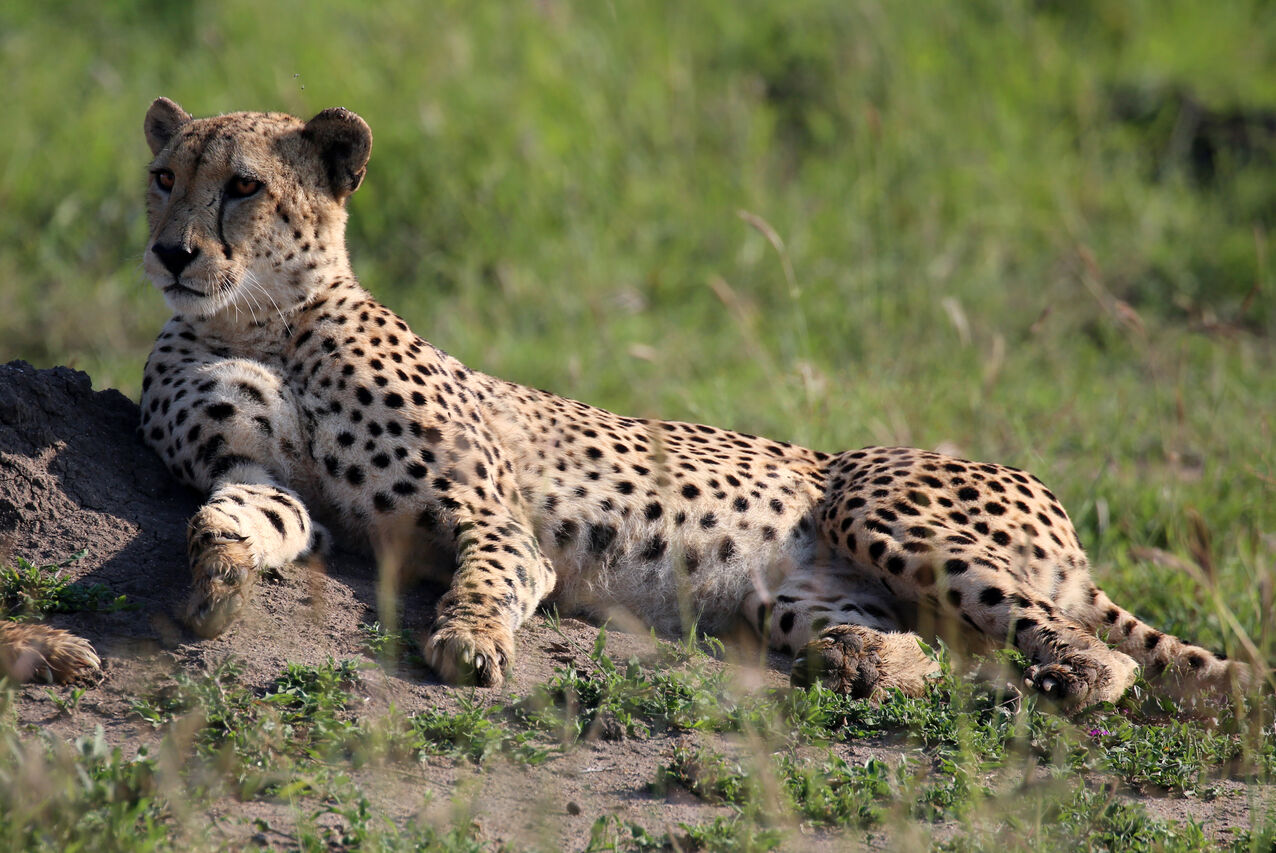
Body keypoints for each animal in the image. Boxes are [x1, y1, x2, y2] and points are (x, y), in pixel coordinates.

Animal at [131, 97, 1252, 710]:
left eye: (241, 186)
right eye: (163, 175)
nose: (169, 251)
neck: (261, 319)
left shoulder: (487, 515)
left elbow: (492, 574)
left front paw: (472, 640)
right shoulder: (271, 477)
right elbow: (237, 512)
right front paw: (213, 576)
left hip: (879, 509)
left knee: (1097, 650)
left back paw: (1066, 679)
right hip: (792, 594)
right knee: (921, 653)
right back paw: (860, 665)